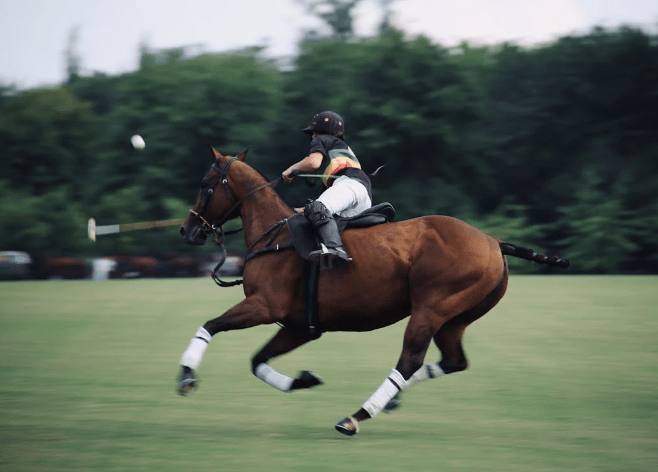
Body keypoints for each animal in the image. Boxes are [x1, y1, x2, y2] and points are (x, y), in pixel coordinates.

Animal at [177, 148, 568, 436]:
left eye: (205, 184)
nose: (188, 230)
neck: (274, 236)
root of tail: (494, 242)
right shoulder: (300, 326)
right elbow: (258, 360)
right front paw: (304, 380)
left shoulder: (264, 306)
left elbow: (210, 325)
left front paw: (186, 376)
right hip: (456, 317)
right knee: (453, 361)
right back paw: (390, 401)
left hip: (431, 308)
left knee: (410, 361)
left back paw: (356, 416)